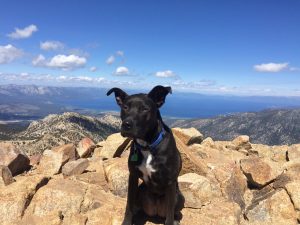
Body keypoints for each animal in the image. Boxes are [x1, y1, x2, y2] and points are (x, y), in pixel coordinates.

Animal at [106, 85, 184, 224]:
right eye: (125, 107)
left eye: (144, 109)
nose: (126, 124)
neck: (148, 146)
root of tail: (156, 212)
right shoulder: (132, 177)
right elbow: (129, 205)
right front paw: (127, 221)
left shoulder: (170, 182)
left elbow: (169, 213)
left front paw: (171, 221)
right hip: (140, 190)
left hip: (178, 196)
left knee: (173, 212)